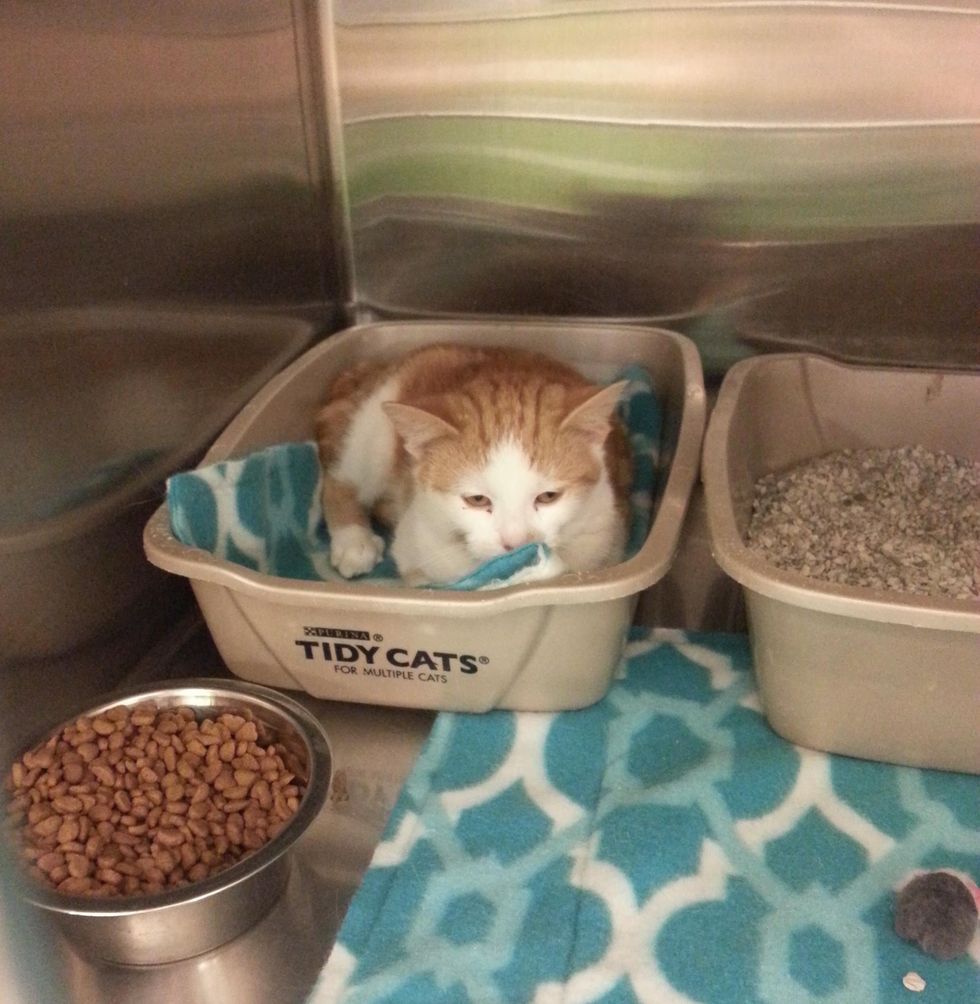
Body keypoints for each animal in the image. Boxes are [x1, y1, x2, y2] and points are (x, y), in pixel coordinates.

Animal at [314, 343, 632, 587]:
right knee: (338, 479)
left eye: (548, 497)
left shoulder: (608, 536)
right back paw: (353, 541)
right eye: (477, 500)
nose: (516, 544)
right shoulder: (414, 548)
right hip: (372, 431)